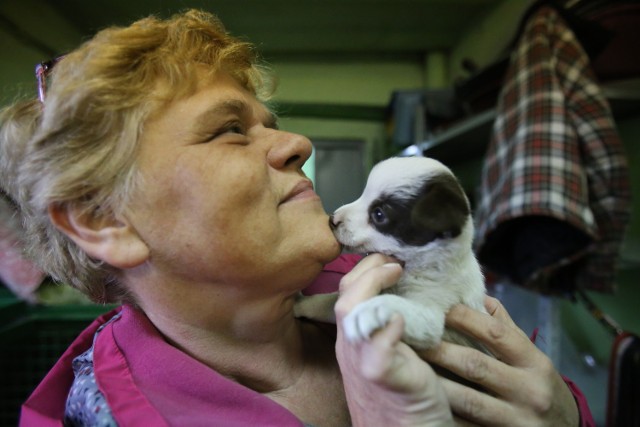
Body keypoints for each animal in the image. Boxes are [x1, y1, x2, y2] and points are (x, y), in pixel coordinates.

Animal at [298, 156, 488, 352]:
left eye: (379, 214)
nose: (332, 219)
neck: (412, 265)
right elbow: (327, 302)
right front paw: (302, 305)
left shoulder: (431, 314)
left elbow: (394, 303)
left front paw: (370, 310)